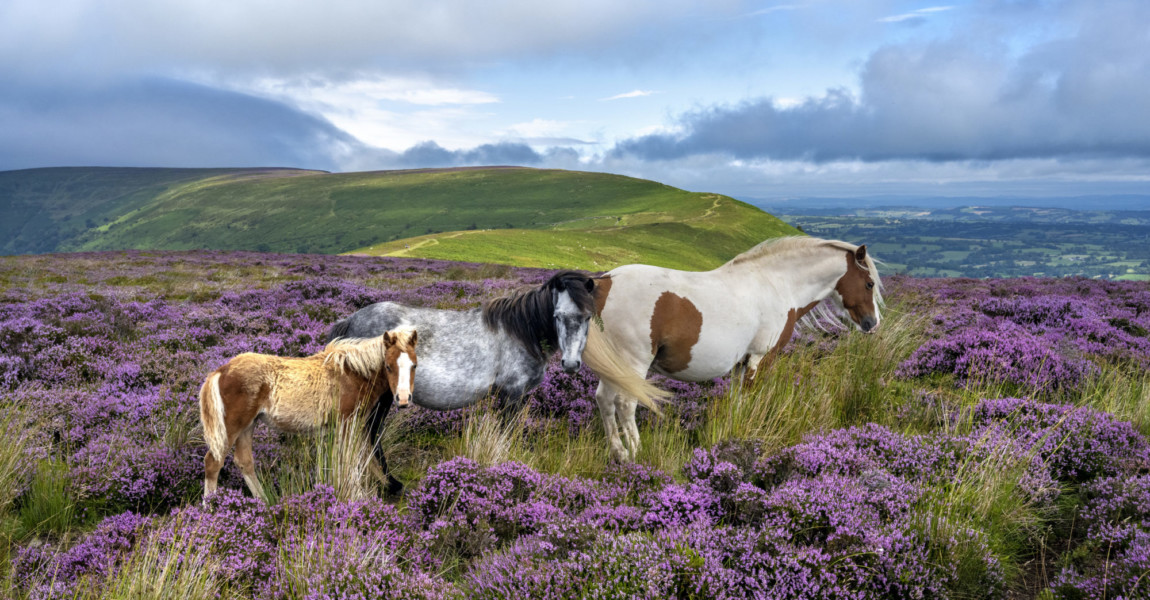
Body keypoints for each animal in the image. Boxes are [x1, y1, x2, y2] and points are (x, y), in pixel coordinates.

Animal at [201, 326, 418, 498]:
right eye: (388, 366)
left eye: (414, 365)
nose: (403, 399)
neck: (352, 373)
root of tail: (221, 370)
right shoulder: (347, 423)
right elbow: (350, 460)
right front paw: (356, 496)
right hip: (232, 426)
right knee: (213, 462)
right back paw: (210, 507)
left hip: (248, 425)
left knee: (244, 462)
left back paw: (264, 503)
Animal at [328, 270, 662, 489]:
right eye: (556, 315)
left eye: (588, 317)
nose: (570, 364)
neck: (521, 332)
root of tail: (350, 321)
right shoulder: (510, 395)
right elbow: (505, 435)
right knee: (370, 433)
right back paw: (391, 484)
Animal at [588, 235, 883, 459]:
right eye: (869, 283)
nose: (873, 323)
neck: (777, 284)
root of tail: (606, 281)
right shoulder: (760, 357)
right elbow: (751, 397)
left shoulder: (742, 362)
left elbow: (738, 400)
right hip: (633, 362)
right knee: (625, 403)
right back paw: (636, 453)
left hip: (614, 366)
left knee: (604, 400)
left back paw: (619, 453)